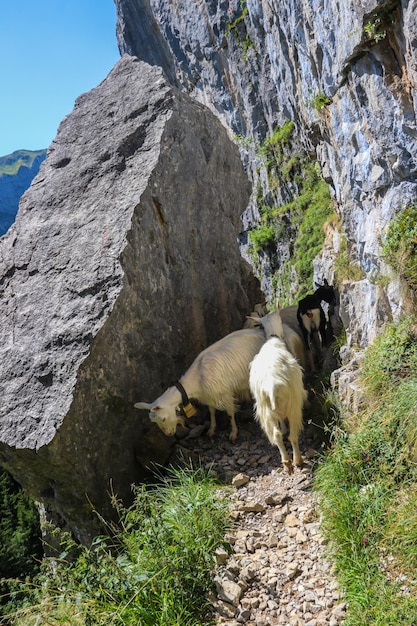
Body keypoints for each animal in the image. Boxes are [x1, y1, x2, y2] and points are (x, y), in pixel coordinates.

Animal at [135, 326, 264, 438]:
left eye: (163, 419)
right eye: (155, 421)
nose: (170, 434)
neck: (196, 379)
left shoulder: (226, 393)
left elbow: (230, 413)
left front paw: (233, 433)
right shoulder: (209, 396)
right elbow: (211, 412)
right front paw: (211, 430)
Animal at [249, 302, 308, 472]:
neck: (273, 340)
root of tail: (271, 386)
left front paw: (283, 427)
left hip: (265, 409)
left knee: (276, 435)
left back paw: (286, 462)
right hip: (293, 403)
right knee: (293, 435)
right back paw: (297, 460)